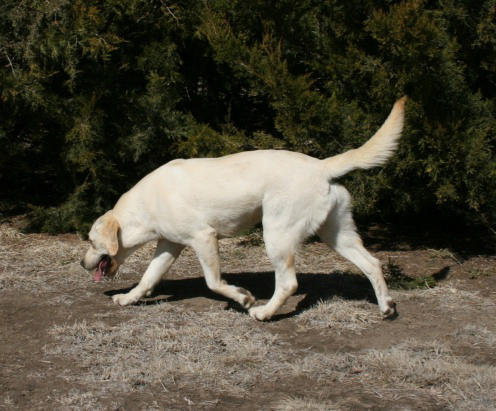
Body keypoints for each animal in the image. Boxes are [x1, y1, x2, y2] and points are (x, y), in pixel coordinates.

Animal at [81, 97, 406, 322]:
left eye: (92, 241)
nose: (82, 264)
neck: (146, 205)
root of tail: (321, 166)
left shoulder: (204, 238)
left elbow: (213, 282)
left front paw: (243, 297)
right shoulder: (169, 245)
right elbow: (148, 278)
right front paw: (128, 299)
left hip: (276, 236)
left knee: (288, 283)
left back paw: (264, 313)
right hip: (337, 236)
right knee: (372, 264)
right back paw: (386, 307)